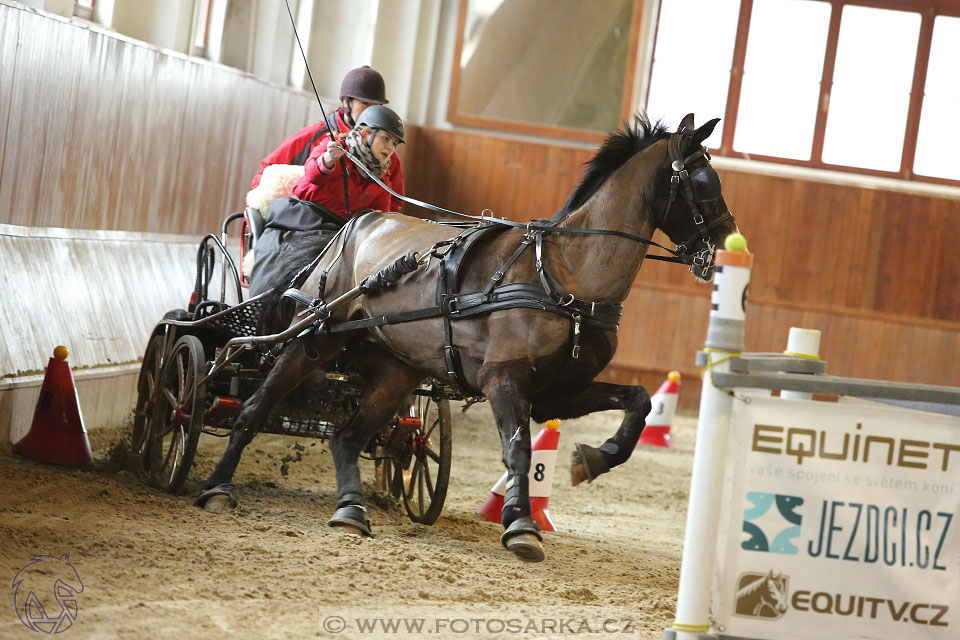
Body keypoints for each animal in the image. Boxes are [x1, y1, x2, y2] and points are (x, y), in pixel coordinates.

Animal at [193, 112, 736, 564]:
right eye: (703, 181)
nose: (726, 248)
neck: (564, 276)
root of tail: (356, 224)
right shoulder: (504, 378)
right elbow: (518, 450)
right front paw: (521, 525)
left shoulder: (560, 391)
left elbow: (639, 400)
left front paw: (594, 458)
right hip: (313, 341)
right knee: (254, 407)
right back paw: (216, 487)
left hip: (397, 370)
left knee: (346, 436)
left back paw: (350, 511)